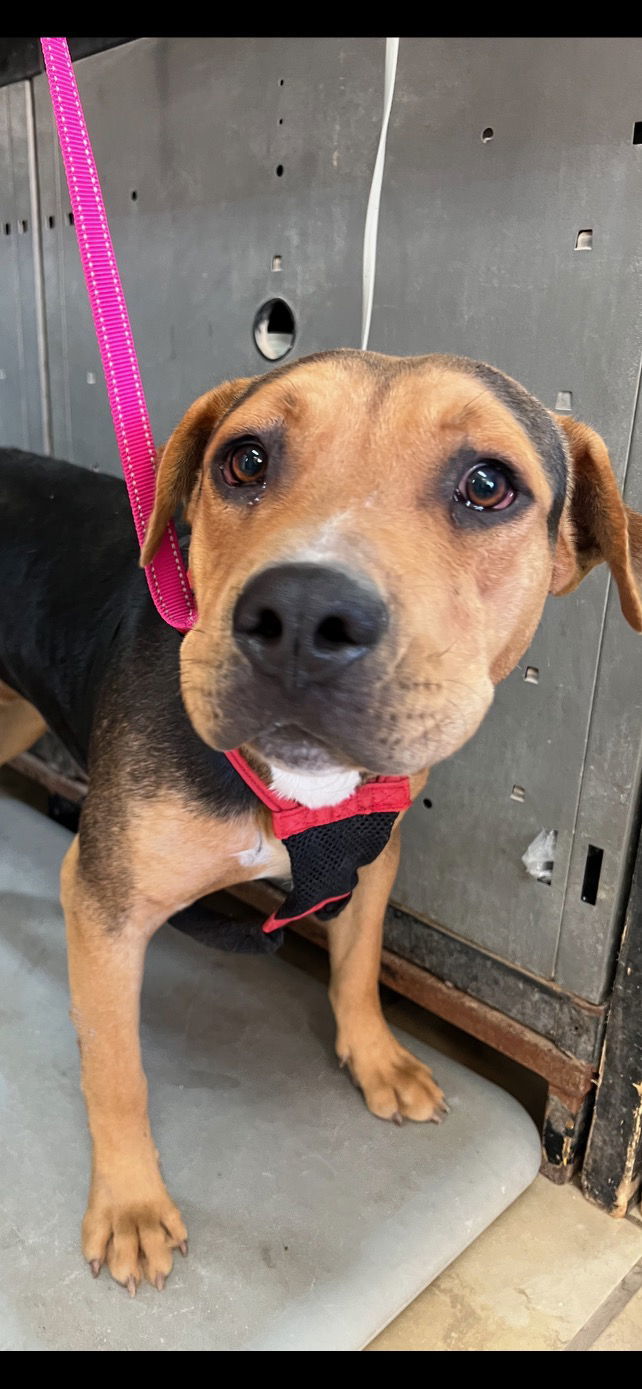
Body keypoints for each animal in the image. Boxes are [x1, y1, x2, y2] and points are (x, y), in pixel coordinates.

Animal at [1, 350, 642, 1288]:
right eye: (245, 461)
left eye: (488, 485)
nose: (302, 614)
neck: (297, 789)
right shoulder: (107, 907)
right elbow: (117, 1074)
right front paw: (129, 1204)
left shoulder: (375, 857)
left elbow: (358, 965)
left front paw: (375, 1059)